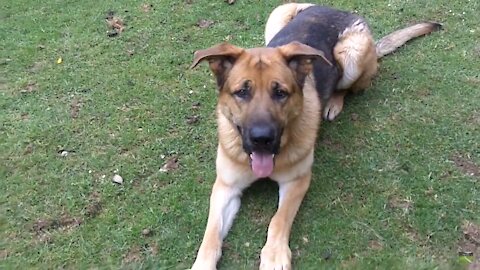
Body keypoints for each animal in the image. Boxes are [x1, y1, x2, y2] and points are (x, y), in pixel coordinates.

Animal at [188, 3, 438, 268]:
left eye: (280, 93)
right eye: (242, 92)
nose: (262, 138)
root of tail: (332, 8)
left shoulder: (296, 181)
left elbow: (278, 219)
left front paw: (274, 254)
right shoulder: (225, 187)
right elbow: (211, 234)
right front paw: (202, 262)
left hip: (352, 54)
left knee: (346, 86)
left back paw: (333, 103)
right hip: (279, 12)